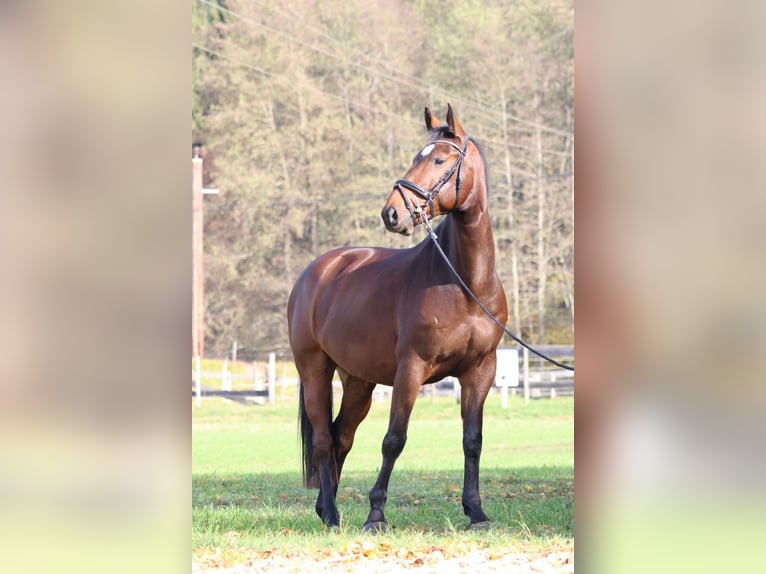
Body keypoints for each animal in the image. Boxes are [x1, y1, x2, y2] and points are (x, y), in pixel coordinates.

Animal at [287, 104, 507, 532]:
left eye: (440, 160)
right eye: (416, 157)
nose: (392, 213)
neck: (465, 283)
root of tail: (316, 271)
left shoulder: (480, 370)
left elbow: (472, 440)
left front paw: (476, 511)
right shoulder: (411, 369)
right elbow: (394, 439)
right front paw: (375, 515)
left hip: (358, 380)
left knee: (340, 438)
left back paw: (326, 508)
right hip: (314, 370)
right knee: (323, 441)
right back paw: (333, 516)